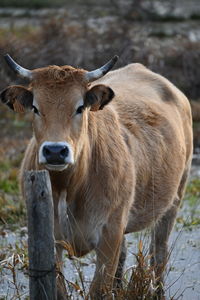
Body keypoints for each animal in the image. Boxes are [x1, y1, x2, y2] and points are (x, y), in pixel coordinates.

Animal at [0, 54, 193, 300]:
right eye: (35, 107)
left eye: (80, 107)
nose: (55, 151)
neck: (69, 187)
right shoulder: (49, 238)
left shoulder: (109, 236)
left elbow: (98, 290)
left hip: (174, 198)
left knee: (158, 253)